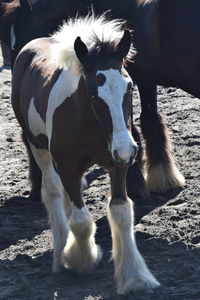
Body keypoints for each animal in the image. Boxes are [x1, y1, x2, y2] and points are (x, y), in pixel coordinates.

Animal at [2, 0, 197, 200]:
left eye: (20, 35)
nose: (18, 65)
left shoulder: (134, 81)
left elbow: (138, 125)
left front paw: (137, 184)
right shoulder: (144, 81)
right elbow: (149, 121)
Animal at [11, 15, 160, 294]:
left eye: (129, 87)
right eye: (92, 93)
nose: (127, 149)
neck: (90, 124)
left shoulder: (117, 163)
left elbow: (122, 213)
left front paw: (135, 278)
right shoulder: (67, 165)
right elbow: (81, 220)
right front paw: (78, 259)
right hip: (38, 147)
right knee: (53, 191)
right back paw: (60, 252)